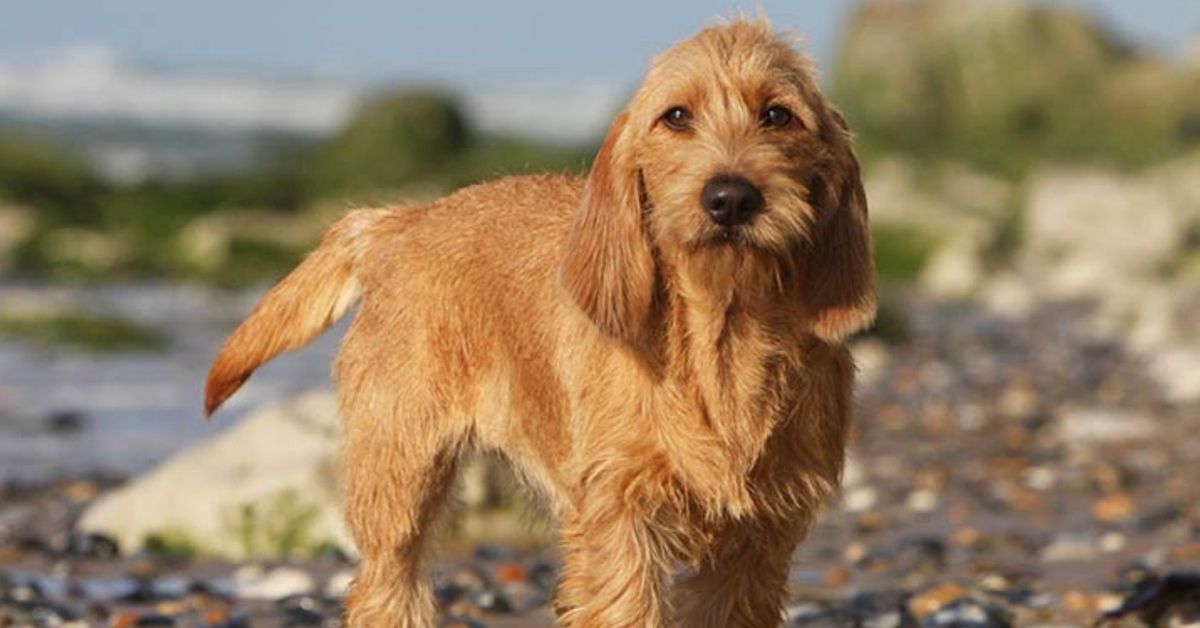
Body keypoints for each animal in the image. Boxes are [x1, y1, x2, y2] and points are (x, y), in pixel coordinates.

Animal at [206, 17, 878, 624]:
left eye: (779, 116)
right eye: (676, 117)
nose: (731, 197)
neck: (723, 338)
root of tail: (406, 219)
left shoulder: (757, 544)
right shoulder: (620, 520)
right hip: (400, 479)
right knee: (388, 588)